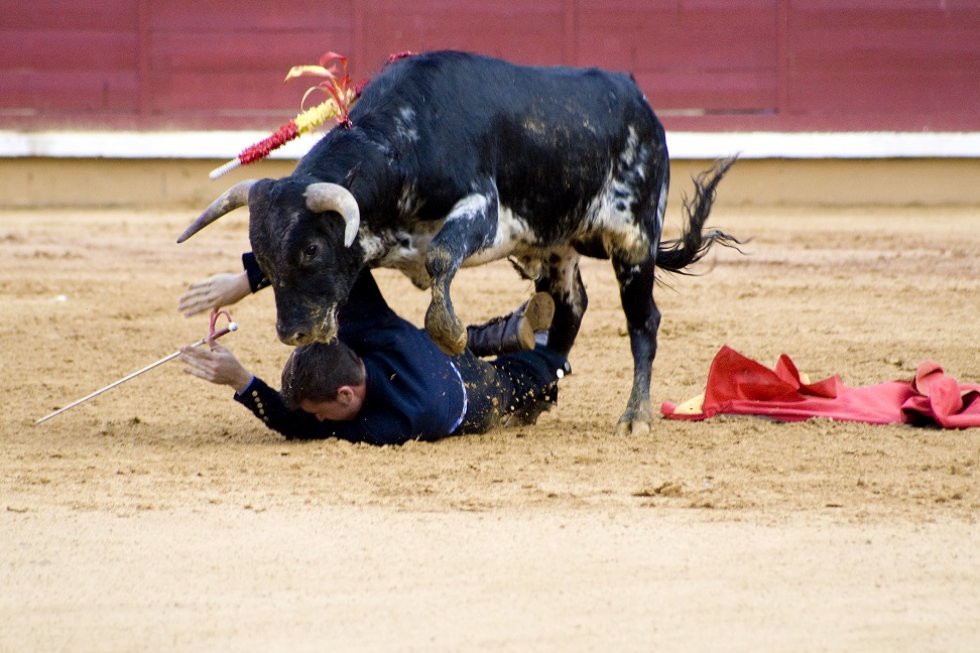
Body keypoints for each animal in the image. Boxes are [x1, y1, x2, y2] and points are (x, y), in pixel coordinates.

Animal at [180, 51, 740, 436]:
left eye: (311, 250)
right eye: (267, 257)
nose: (293, 333)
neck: (399, 144)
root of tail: (640, 103)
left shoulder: (482, 209)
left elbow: (440, 256)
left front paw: (448, 333)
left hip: (633, 237)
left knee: (643, 323)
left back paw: (634, 416)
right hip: (552, 245)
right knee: (570, 305)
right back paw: (537, 384)